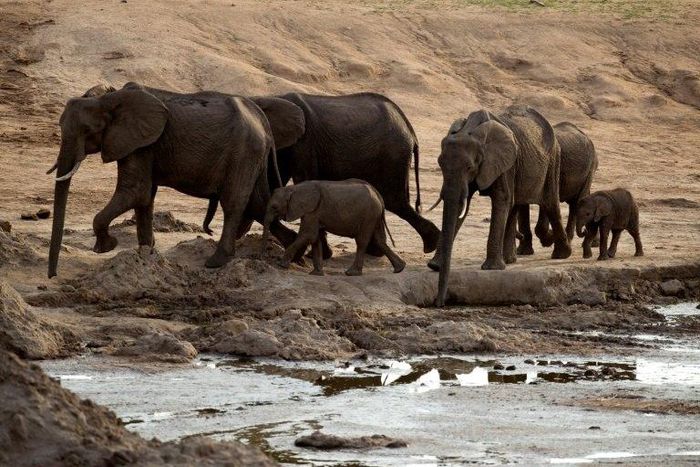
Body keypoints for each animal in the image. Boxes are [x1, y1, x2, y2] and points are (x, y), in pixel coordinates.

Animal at [47, 82, 297, 277]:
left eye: (87, 130)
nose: (52, 276)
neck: (110, 97)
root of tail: (262, 120)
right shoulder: (142, 144)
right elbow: (144, 197)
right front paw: (146, 252)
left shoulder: (141, 144)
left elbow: (134, 191)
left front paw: (105, 248)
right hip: (254, 156)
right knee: (258, 203)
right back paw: (298, 253)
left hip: (244, 152)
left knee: (234, 203)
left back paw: (216, 262)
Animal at [261, 179, 406, 276]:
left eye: (274, 207)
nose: (262, 256)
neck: (294, 188)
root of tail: (379, 196)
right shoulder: (315, 213)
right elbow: (315, 238)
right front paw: (316, 274)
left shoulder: (312, 211)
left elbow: (307, 235)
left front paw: (281, 264)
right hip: (374, 216)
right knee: (379, 240)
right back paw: (400, 269)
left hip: (369, 215)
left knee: (362, 241)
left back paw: (351, 273)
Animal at [428, 105, 572, 307]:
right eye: (440, 165)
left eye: (469, 168)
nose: (440, 304)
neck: (471, 130)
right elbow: (466, 204)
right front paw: (434, 265)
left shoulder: (504, 162)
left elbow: (501, 199)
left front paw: (491, 268)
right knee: (515, 204)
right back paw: (510, 260)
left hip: (553, 160)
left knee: (550, 202)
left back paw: (561, 255)